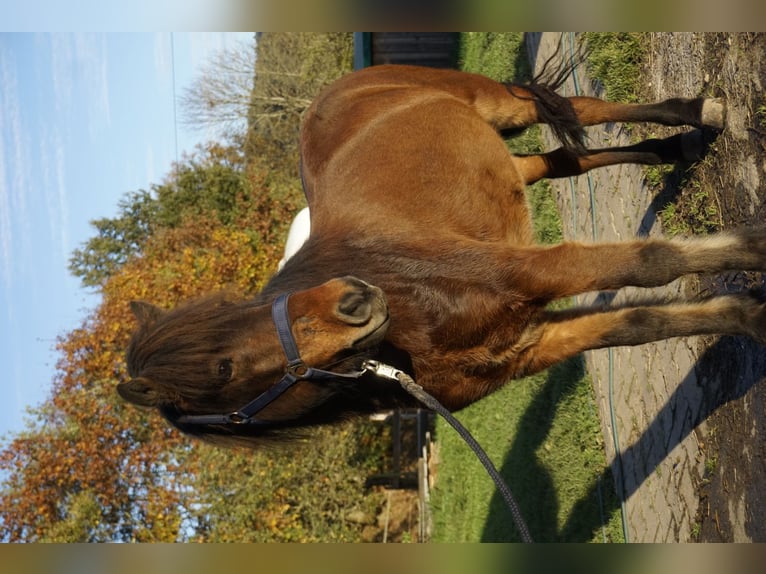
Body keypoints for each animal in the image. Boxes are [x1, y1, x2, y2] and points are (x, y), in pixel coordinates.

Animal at [118, 64, 766, 450]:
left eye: (238, 318)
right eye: (223, 371)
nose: (352, 299)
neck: (411, 301)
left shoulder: (524, 270)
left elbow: (650, 264)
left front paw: (755, 248)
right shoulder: (530, 345)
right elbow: (640, 322)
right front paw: (748, 316)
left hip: (499, 104)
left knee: (583, 109)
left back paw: (698, 115)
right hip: (507, 163)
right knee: (563, 161)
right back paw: (669, 150)